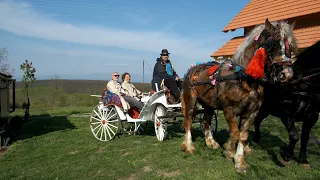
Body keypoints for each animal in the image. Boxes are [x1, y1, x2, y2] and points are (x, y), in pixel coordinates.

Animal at [180, 18, 298, 173]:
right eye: (272, 43)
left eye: (291, 46)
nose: (287, 74)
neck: (244, 79)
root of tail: (191, 70)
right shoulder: (229, 111)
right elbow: (235, 133)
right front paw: (230, 151)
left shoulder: (251, 113)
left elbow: (243, 136)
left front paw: (240, 161)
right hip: (191, 101)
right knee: (188, 121)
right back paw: (188, 146)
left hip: (208, 104)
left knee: (206, 120)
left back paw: (211, 142)